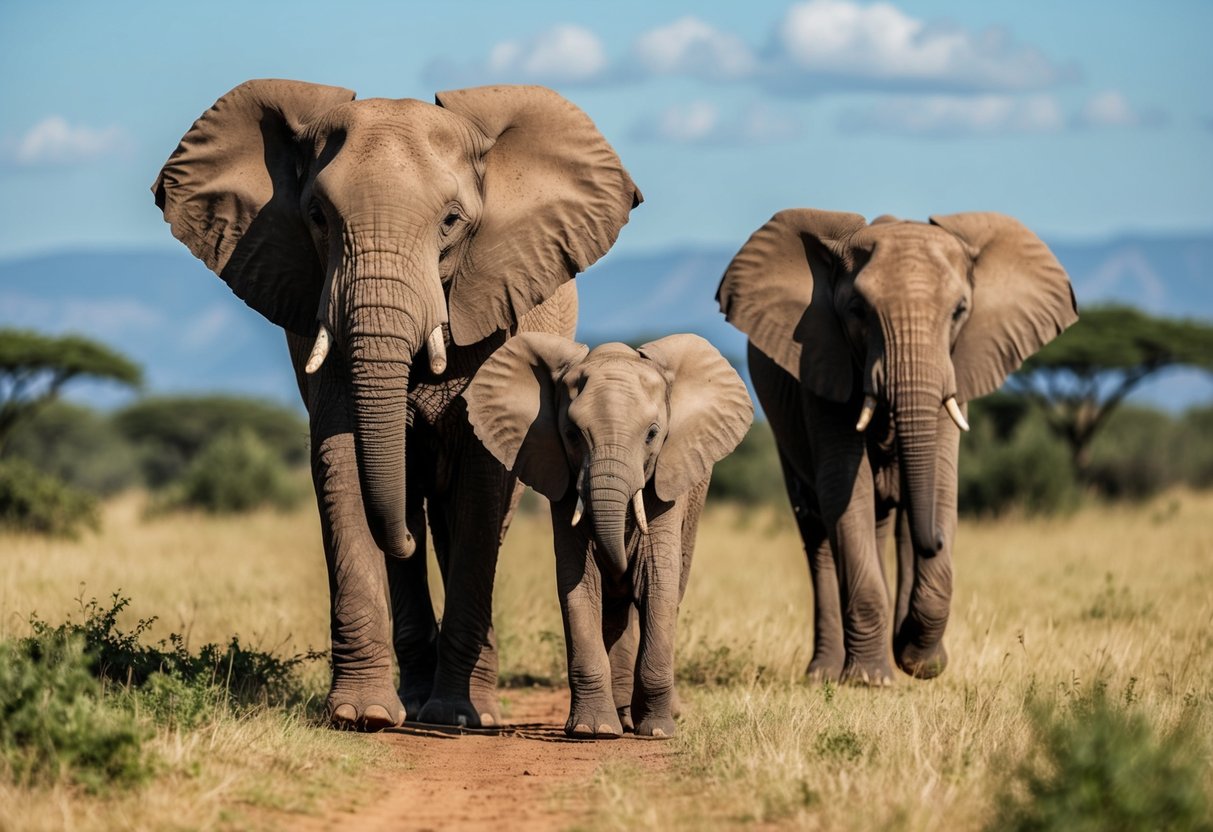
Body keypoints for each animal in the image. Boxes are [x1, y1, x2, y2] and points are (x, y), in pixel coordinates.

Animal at [152, 80, 645, 727]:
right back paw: (410, 699)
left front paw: (457, 718)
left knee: (477, 517)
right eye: (317, 217)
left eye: (452, 221)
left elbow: (480, 484)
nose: (403, 534)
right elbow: (340, 461)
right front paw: (360, 716)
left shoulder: (493, 309)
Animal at [460, 332, 747, 737]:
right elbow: (580, 585)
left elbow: (656, 583)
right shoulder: (561, 481)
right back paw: (620, 718)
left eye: (653, 435)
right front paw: (591, 730)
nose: (622, 564)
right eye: (571, 435)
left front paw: (658, 732)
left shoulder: (666, 487)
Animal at [713, 208, 1077, 684]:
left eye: (960, 311)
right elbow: (845, 490)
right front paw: (872, 679)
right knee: (818, 529)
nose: (935, 541)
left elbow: (940, 486)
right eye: (857, 311)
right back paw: (826, 673)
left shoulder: (956, 369)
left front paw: (919, 664)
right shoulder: (822, 364)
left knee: (884, 523)